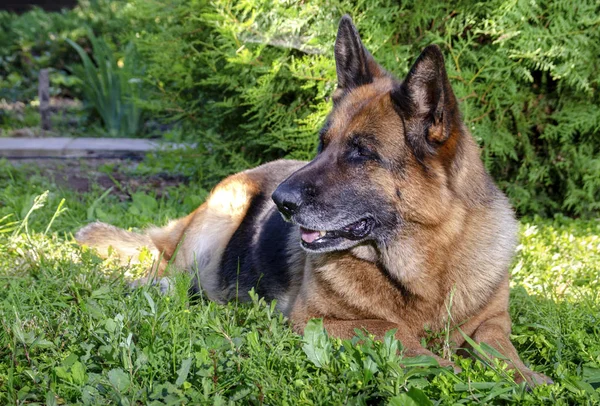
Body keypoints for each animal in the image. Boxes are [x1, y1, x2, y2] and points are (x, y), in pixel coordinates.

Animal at [78, 16, 552, 386]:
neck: (425, 268)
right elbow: (395, 332)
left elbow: (501, 351)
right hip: (221, 214)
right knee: (168, 273)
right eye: (323, 144)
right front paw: (454, 371)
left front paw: (527, 378)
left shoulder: (491, 323)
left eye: (361, 152)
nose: (280, 202)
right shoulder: (320, 321)